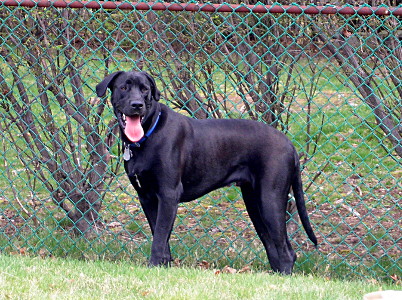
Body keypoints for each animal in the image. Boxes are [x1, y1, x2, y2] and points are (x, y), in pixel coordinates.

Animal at [96, 70, 318, 274]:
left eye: (145, 89)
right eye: (124, 87)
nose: (137, 105)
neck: (147, 134)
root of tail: (290, 144)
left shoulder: (168, 194)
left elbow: (159, 238)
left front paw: (154, 267)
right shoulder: (147, 197)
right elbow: (161, 237)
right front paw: (163, 267)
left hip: (269, 199)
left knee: (286, 252)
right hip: (254, 204)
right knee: (273, 247)